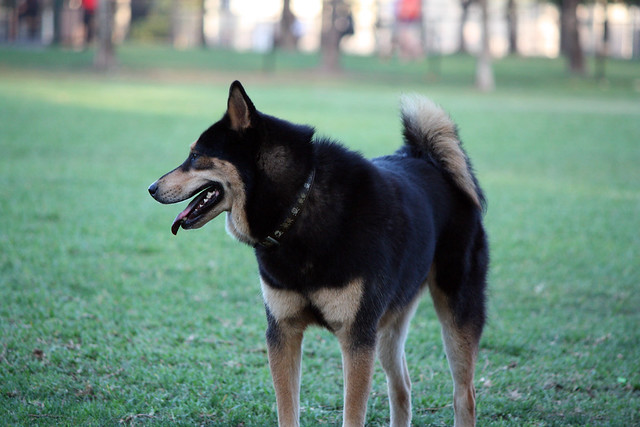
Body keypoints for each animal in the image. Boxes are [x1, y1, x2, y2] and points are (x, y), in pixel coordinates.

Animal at [150, 81, 488, 427]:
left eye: (195, 156)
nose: (151, 188)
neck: (298, 204)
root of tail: (427, 159)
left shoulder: (356, 337)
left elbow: (352, 415)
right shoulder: (283, 331)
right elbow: (288, 412)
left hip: (455, 311)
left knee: (464, 395)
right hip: (388, 326)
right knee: (402, 388)